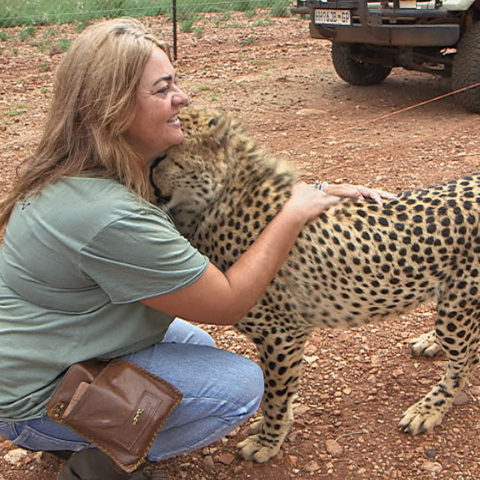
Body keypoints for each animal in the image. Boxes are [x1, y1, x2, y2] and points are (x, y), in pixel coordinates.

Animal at [152, 107, 480, 464]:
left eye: (160, 158)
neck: (222, 201)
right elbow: (280, 391)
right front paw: (276, 428)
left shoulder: (283, 333)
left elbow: (275, 394)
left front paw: (268, 441)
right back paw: (431, 342)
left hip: (458, 306)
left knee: (467, 358)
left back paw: (429, 408)